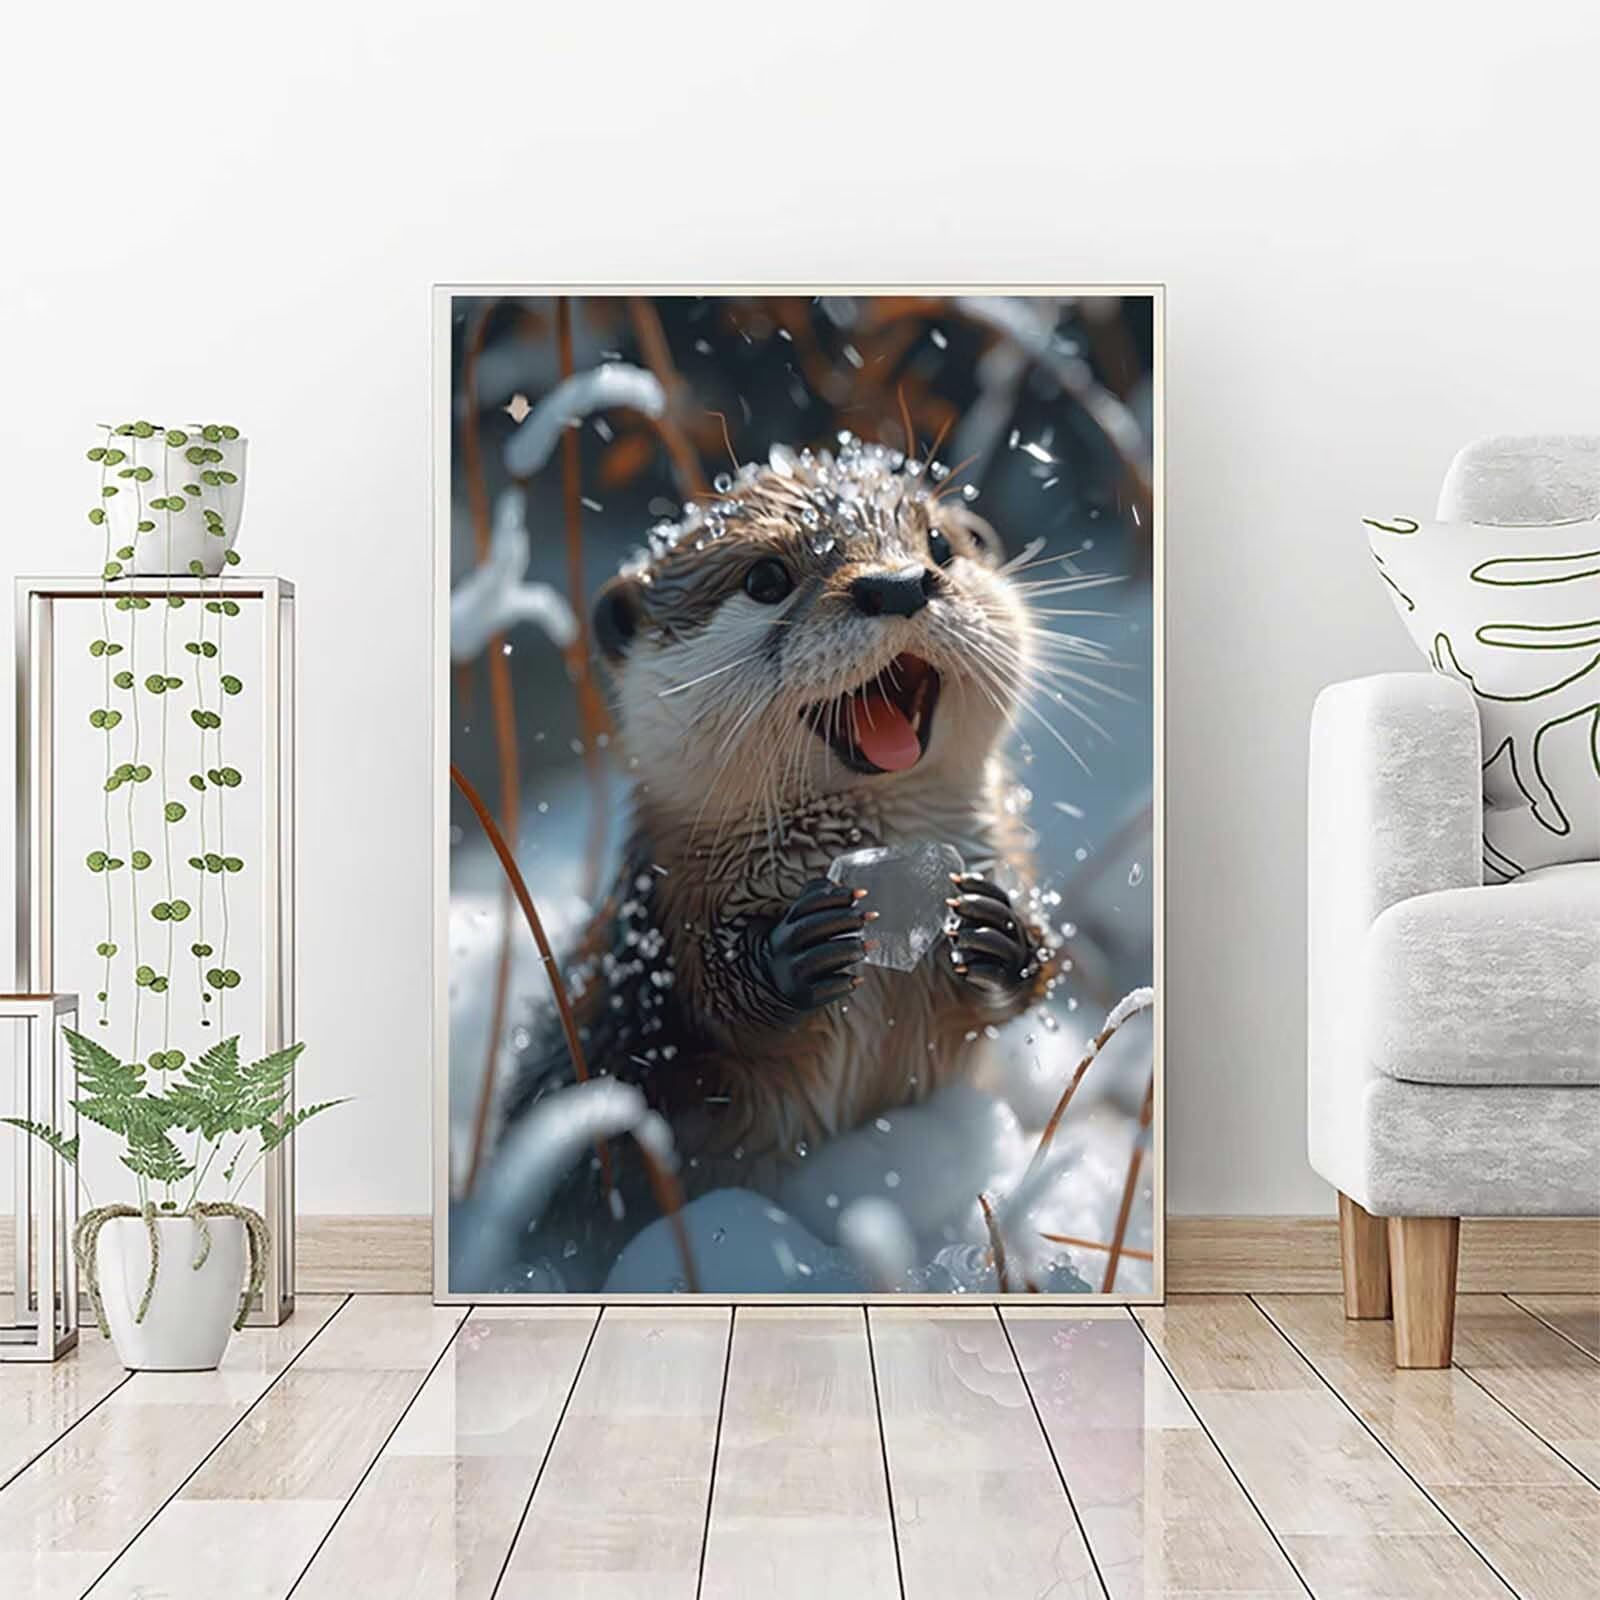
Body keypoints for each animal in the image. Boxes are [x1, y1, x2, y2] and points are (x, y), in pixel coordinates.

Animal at [496, 434, 1069, 1284]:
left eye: (938, 545)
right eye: (766, 580)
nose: (898, 585)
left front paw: (998, 937)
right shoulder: (668, 924)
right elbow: (707, 1017)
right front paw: (795, 955)